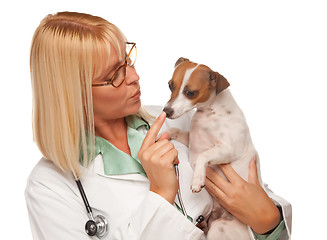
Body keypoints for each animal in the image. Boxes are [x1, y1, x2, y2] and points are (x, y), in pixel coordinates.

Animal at [164, 57, 264, 239]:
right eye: (170, 85)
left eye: (190, 92)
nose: (166, 111)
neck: (210, 112)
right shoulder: (191, 140)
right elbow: (174, 130)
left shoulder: (227, 149)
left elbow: (203, 155)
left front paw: (197, 180)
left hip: (219, 229)